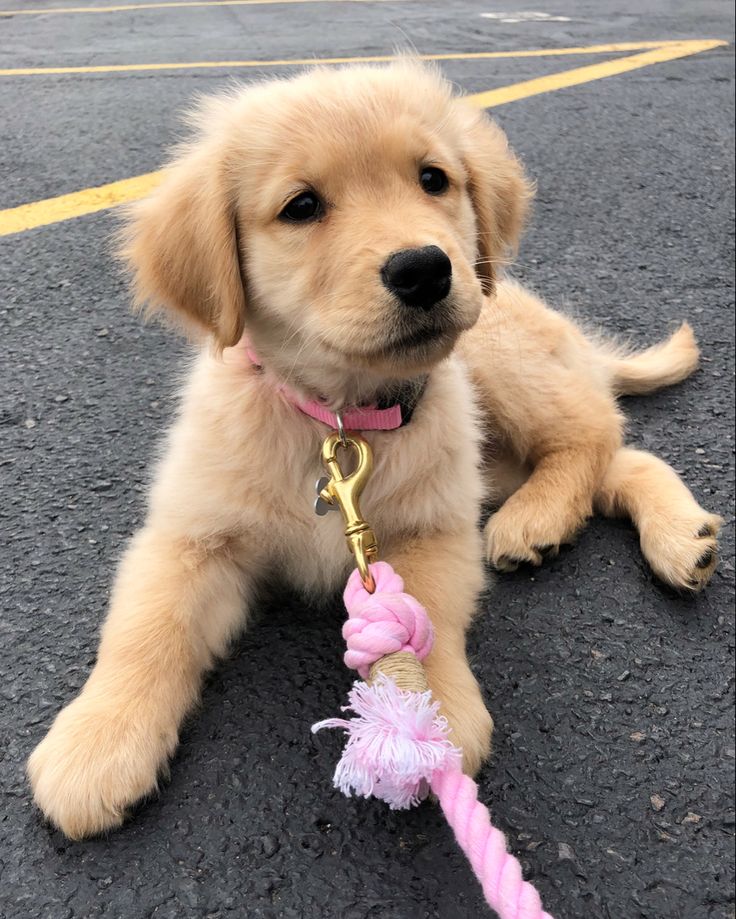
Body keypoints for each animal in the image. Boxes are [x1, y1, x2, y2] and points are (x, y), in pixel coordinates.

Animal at [27, 63, 720, 840]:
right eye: (301, 206)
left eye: (432, 179)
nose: (424, 269)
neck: (340, 420)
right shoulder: (192, 533)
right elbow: (147, 627)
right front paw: (96, 744)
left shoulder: (432, 526)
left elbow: (426, 614)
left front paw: (426, 716)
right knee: (622, 456)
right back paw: (675, 535)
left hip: (500, 363)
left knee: (594, 435)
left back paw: (542, 520)